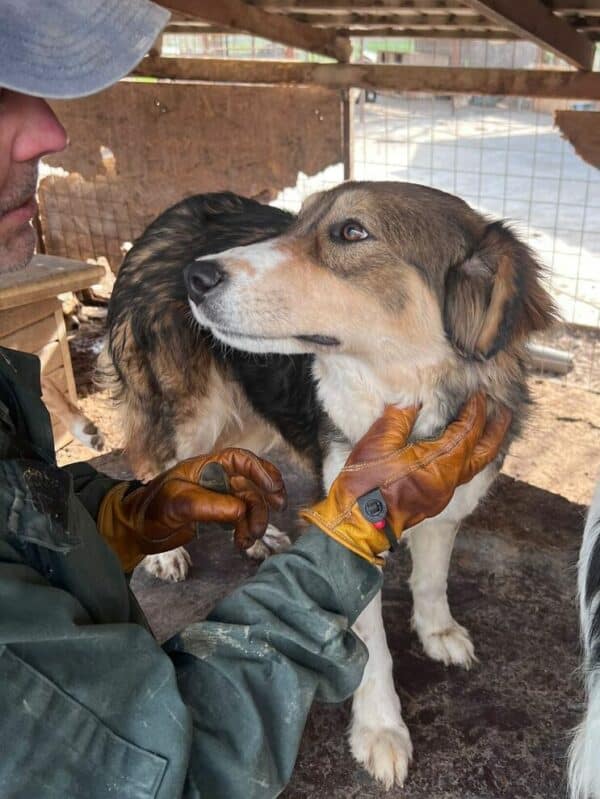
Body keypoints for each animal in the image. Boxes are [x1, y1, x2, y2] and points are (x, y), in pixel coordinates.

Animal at [104, 183, 556, 788]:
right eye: (297, 224)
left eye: (351, 232)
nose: (195, 277)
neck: (399, 392)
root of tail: (170, 217)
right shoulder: (351, 521)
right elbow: (373, 648)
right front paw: (380, 731)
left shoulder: (449, 497)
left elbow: (431, 579)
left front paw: (436, 631)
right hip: (188, 408)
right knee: (157, 464)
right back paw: (166, 550)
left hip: (250, 408)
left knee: (218, 464)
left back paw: (257, 535)